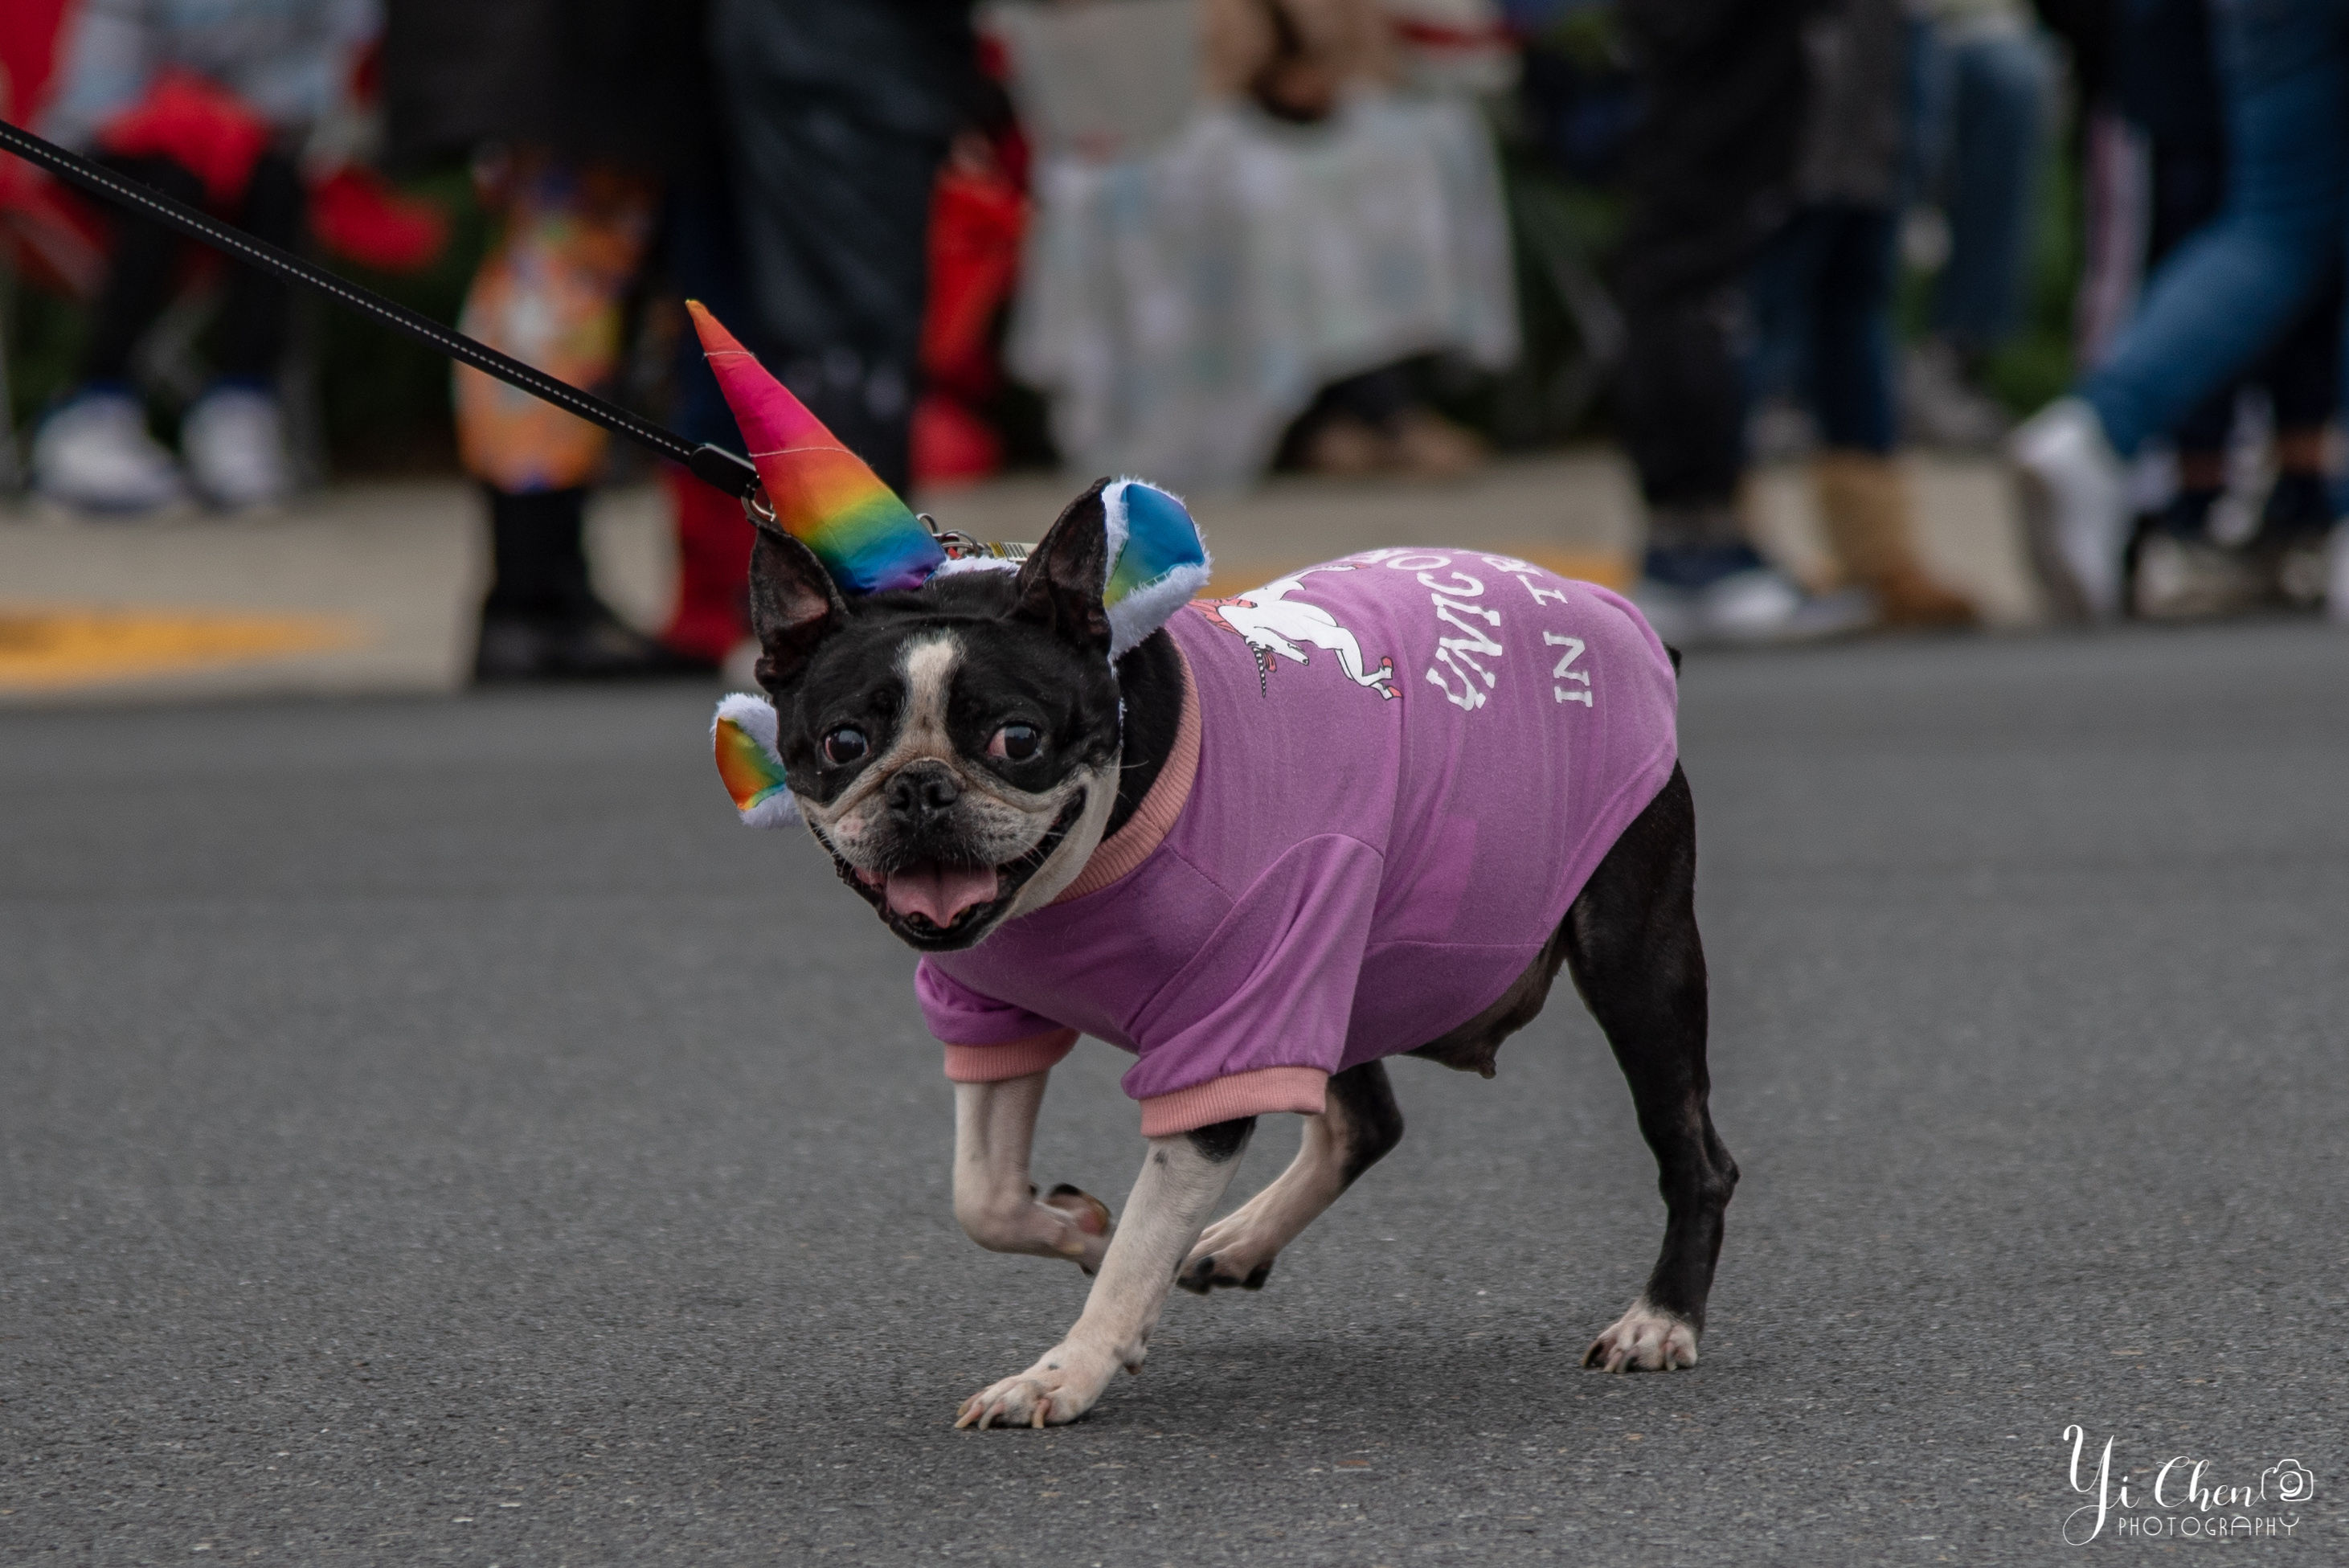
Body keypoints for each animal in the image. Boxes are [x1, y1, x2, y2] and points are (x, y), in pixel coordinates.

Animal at [716, 474, 1739, 1431]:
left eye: (1018, 739)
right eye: (844, 743)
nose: (921, 788)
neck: (1083, 860)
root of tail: (1615, 615)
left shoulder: (1226, 1035)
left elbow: (1137, 1246)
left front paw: (1064, 1370)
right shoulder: (991, 1012)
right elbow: (985, 1195)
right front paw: (1081, 1232)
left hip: (1631, 964)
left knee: (1692, 1155)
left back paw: (1659, 1320)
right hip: (1337, 952)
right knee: (1365, 1121)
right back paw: (1233, 1240)